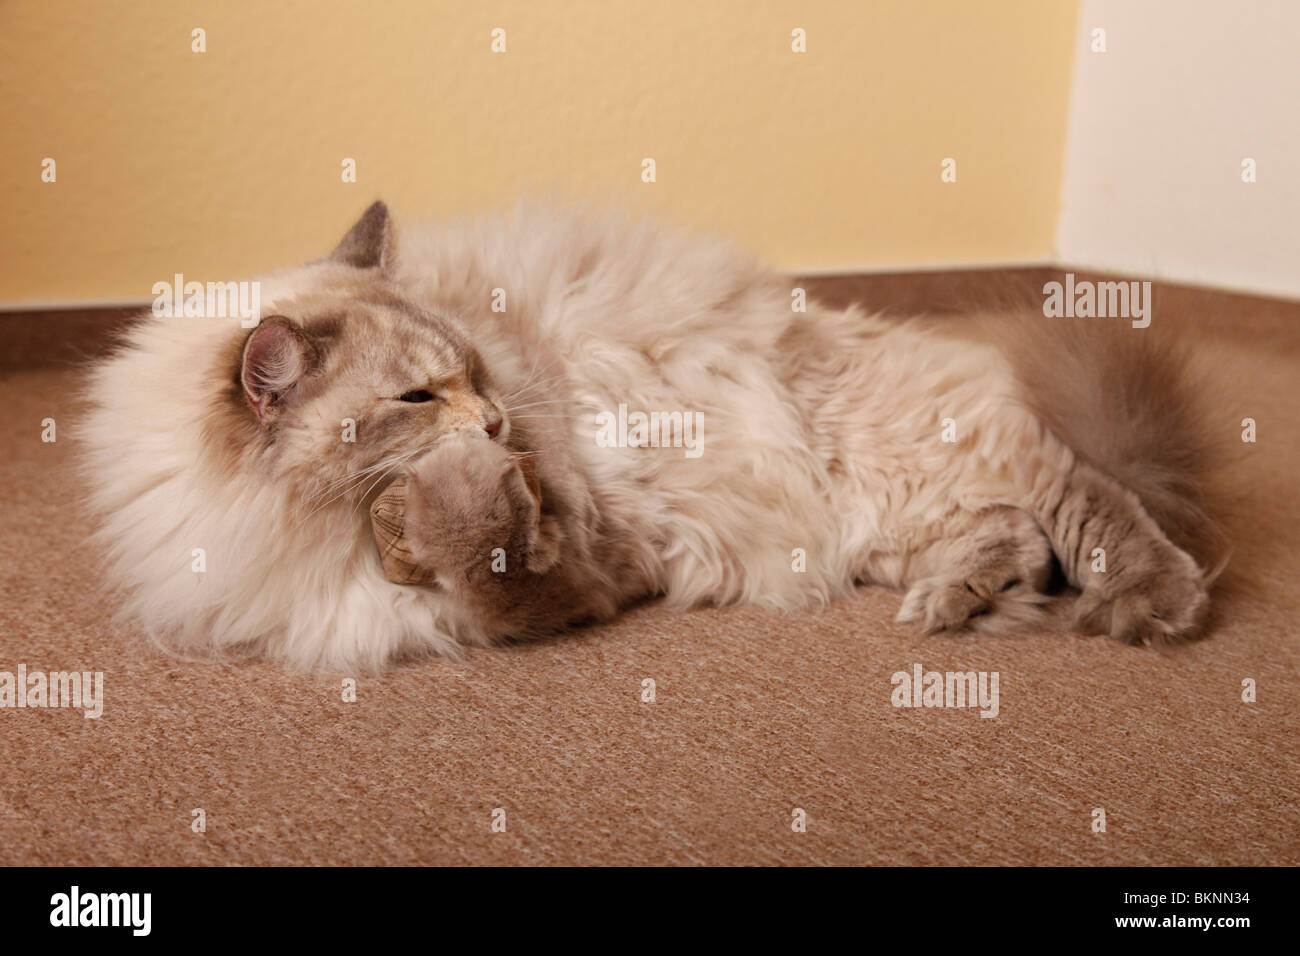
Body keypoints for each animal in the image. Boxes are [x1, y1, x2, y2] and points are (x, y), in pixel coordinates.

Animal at [81, 200, 1227, 671]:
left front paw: (461, 497)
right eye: (415, 397)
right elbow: (480, 576)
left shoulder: (586, 558)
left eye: (474, 373)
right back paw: (951, 605)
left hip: (915, 449)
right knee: (1010, 532)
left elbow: (492, 561)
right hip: (882, 519)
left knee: (1082, 497)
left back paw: (1150, 603)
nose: (493, 420)